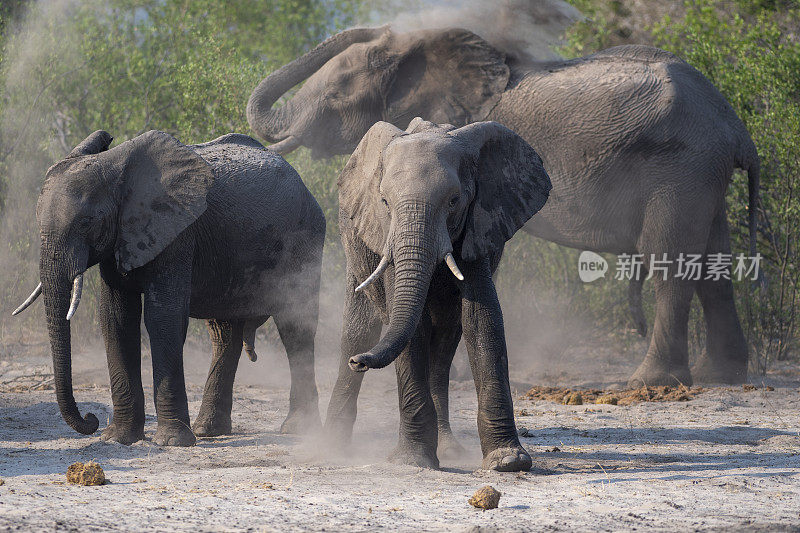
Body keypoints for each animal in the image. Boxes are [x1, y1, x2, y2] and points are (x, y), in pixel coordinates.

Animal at [13, 129, 324, 444]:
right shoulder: (120, 238)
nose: (92, 419)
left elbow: (163, 317)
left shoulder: (177, 232)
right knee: (224, 334)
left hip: (304, 240)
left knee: (295, 325)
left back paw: (298, 429)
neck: (116, 168)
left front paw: (173, 441)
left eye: (87, 221)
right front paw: (117, 438)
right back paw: (208, 430)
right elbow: (116, 319)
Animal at [247, 25, 760, 386]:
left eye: (337, 95)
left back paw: (649, 383)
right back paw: (720, 376)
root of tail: (734, 125)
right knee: (713, 260)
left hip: (681, 167)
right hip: (701, 172)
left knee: (671, 259)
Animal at [328, 117, 552, 470]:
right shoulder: (385, 233)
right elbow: (412, 327)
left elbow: (482, 319)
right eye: (384, 202)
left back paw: (449, 450)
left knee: (446, 342)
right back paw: (330, 445)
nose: (359, 363)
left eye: (453, 201)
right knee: (359, 332)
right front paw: (412, 462)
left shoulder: (478, 225)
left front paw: (509, 461)